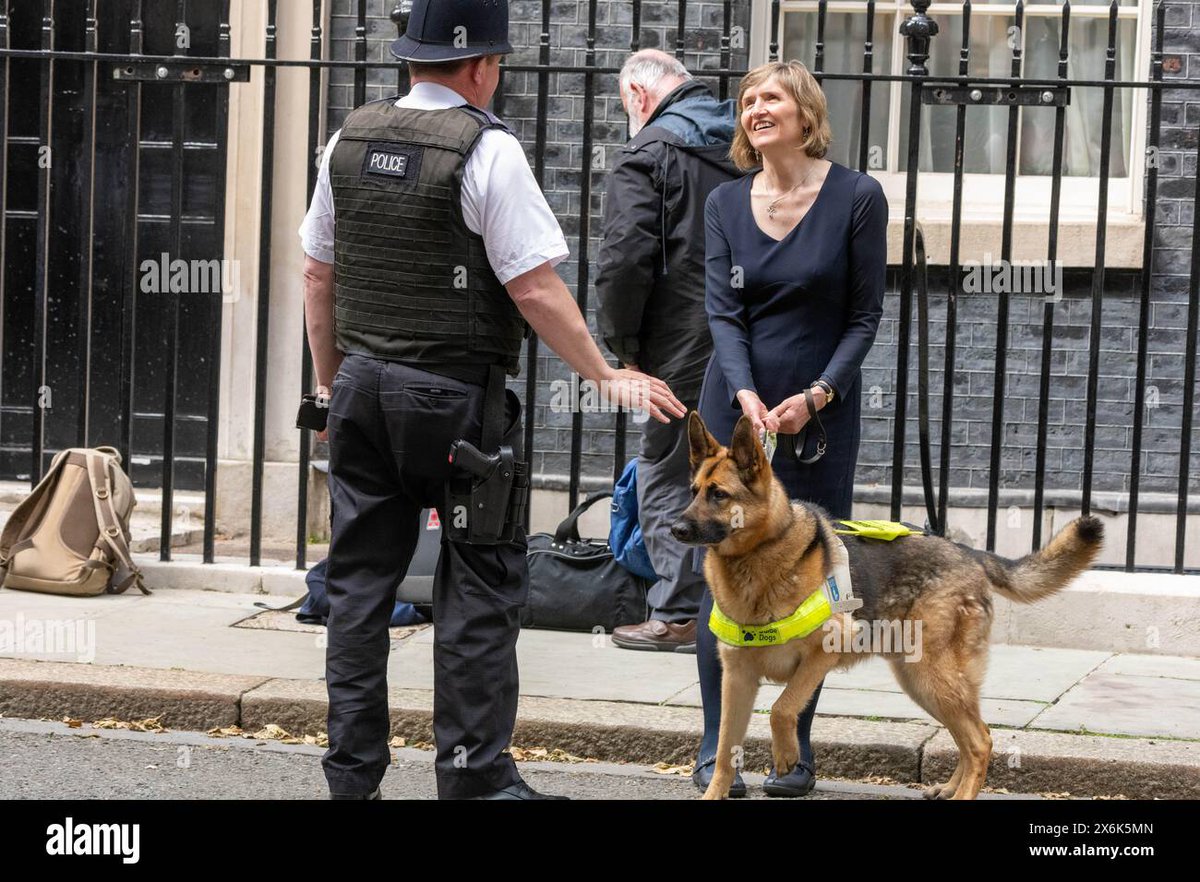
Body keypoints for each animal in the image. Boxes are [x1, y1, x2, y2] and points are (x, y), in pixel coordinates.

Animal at [672, 412, 1099, 801]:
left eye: (719, 495)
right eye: (693, 490)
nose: (675, 529)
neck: (759, 556)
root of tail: (968, 553)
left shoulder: (821, 655)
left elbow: (782, 708)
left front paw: (786, 754)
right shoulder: (737, 680)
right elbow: (725, 751)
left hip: (932, 677)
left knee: (979, 740)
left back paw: (962, 791)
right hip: (922, 682)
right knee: (974, 734)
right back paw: (950, 787)